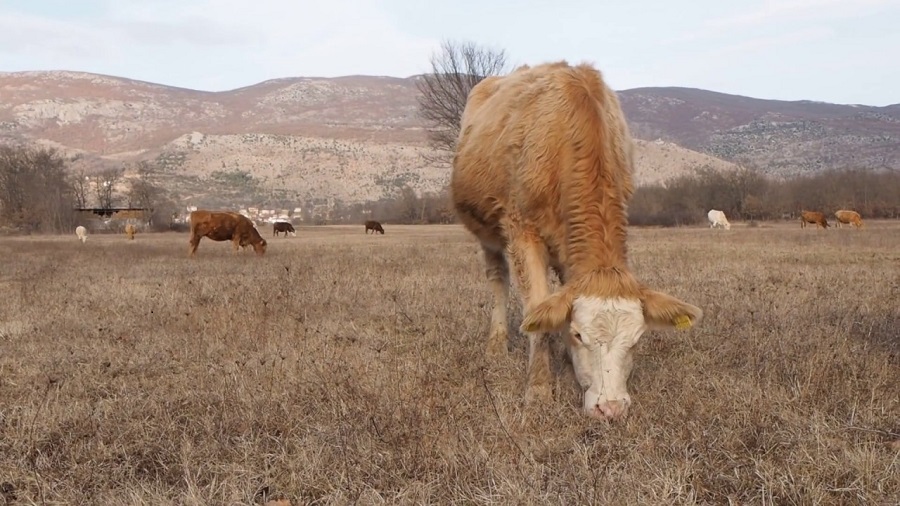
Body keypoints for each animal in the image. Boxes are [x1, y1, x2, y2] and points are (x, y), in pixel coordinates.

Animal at [450, 61, 704, 422]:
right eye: (579, 334)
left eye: (636, 340)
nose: (610, 408)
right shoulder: (521, 231)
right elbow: (537, 308)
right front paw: (539, 389)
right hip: (486, 231)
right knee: (498, 280)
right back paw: (496, 345)